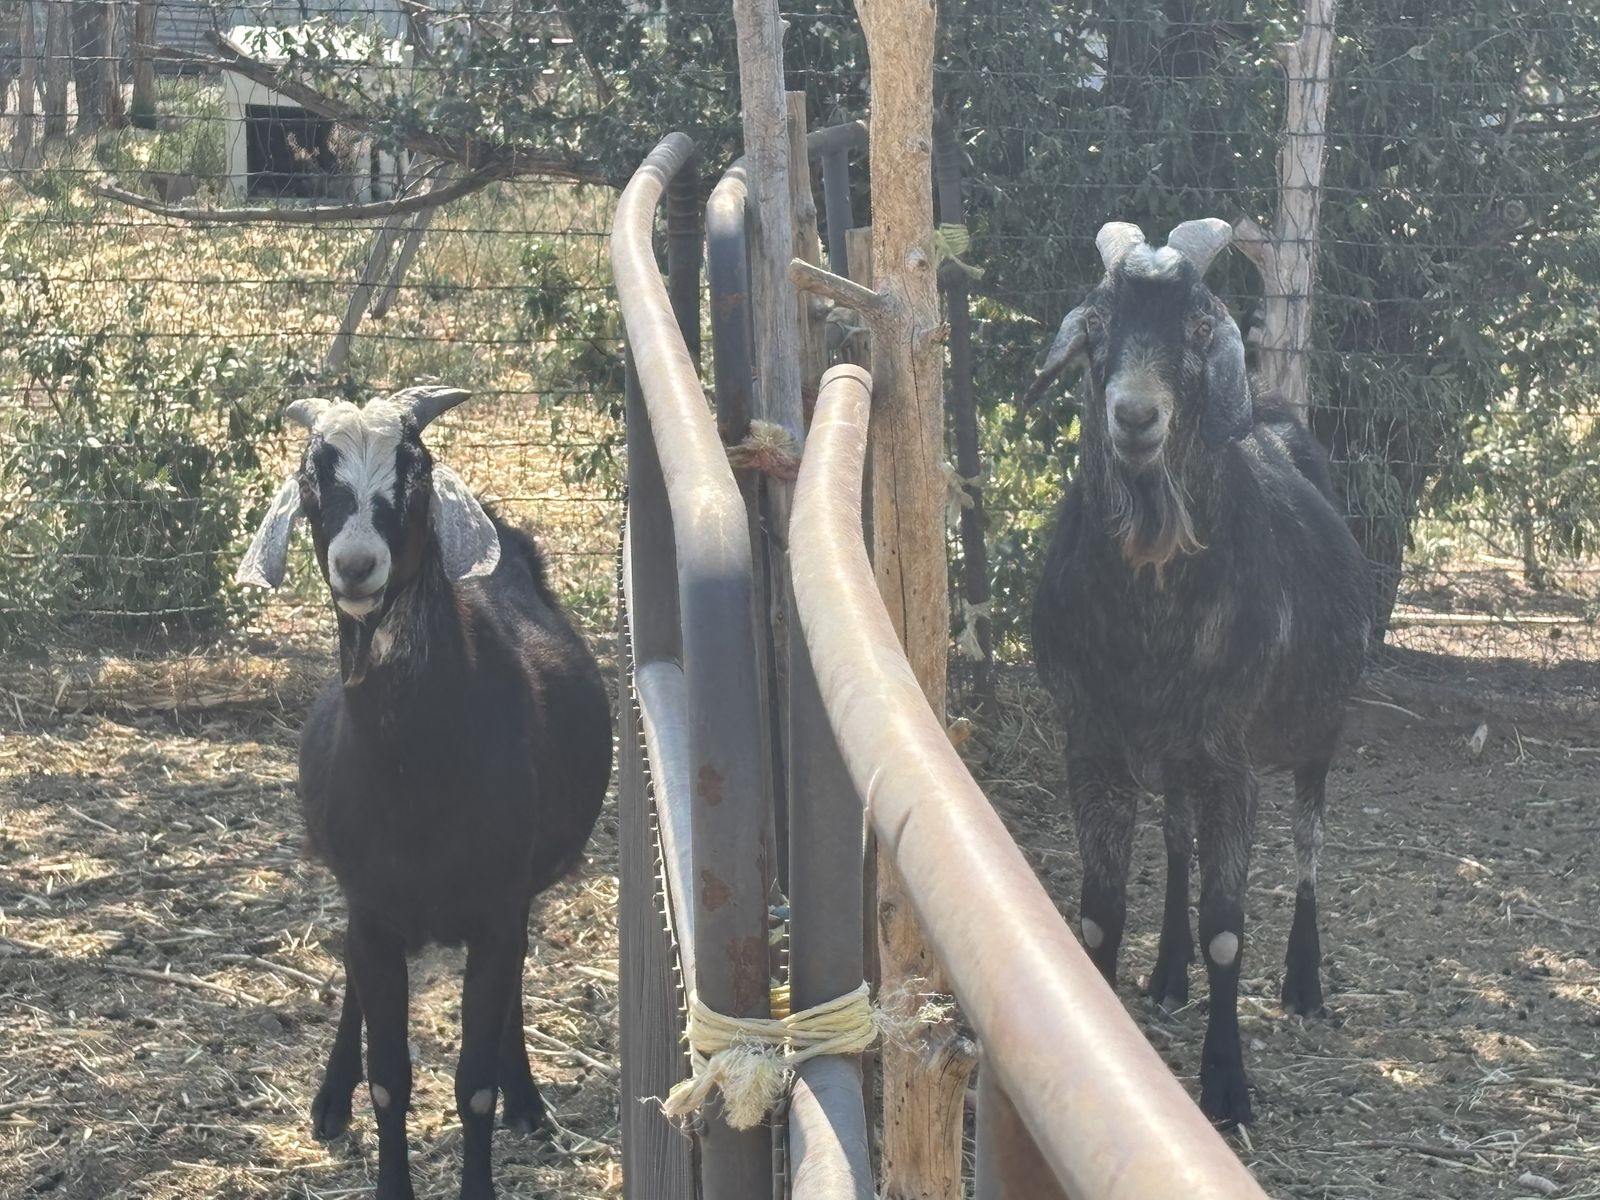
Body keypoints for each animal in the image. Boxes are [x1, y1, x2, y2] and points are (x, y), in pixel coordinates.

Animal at [236, 386, 612, 1200]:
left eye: (415, 473)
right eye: (311, 482)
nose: (356, 565)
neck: (416, 776)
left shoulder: (497, 911)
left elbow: (474, 1083)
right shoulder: (374, 910)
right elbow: (389, 1080)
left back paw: (529, 1100)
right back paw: (330, 1100)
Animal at [1025, 220, 1371, 1128]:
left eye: (1199, 327)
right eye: (1097, 326)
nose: (1136, 415)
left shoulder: (1229, 758)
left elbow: (1228, 928)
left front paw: (1227, 1086)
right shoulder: (1095, 744)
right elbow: (1099, 919)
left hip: (1320, 727)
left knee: (1310, 842)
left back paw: (1303, 983)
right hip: (1173, 755)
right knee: (1177, 838)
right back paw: (1169, 973)